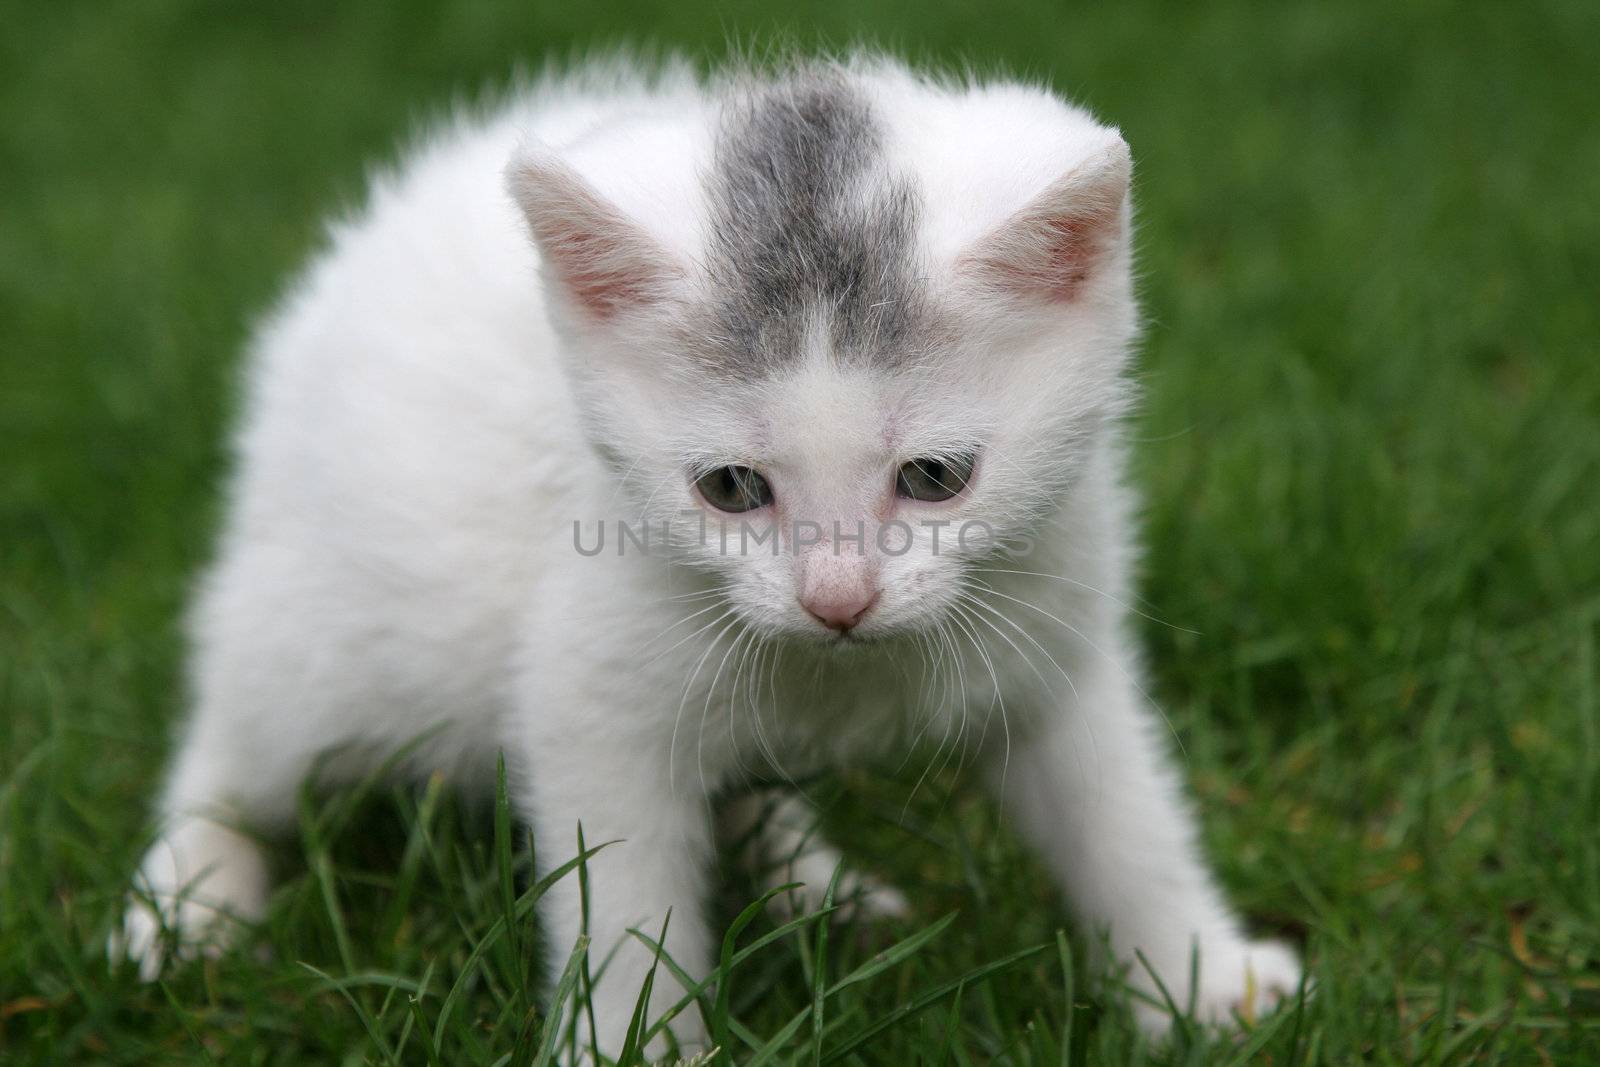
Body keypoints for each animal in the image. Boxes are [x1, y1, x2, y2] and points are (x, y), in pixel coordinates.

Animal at [121, 56, 1299, 1049]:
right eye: (731, 489)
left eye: (934, 476)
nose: (837, 599)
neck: (844, 672)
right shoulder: (592, 699)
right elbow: (626, 901)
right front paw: (630, 1042)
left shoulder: (1056, 626)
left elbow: (1121, 812)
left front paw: (1201, 980)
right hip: (336, 637)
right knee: (237, 737)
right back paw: (187, 899)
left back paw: (814, 884)